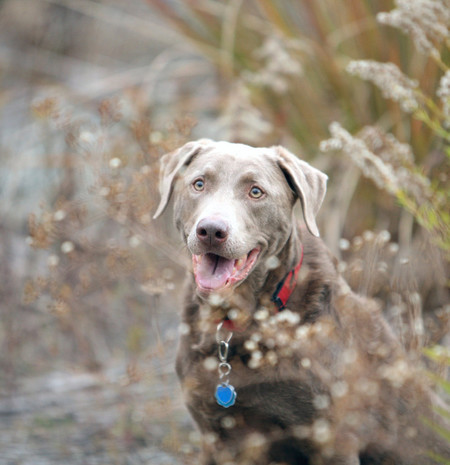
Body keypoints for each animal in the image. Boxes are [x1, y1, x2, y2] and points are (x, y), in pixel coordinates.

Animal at [153, 139, 448, 464]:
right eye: (199, 183)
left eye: (256, 191)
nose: (211, 231)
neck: (236, 323)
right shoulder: (215, 435)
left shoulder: (331, 438)